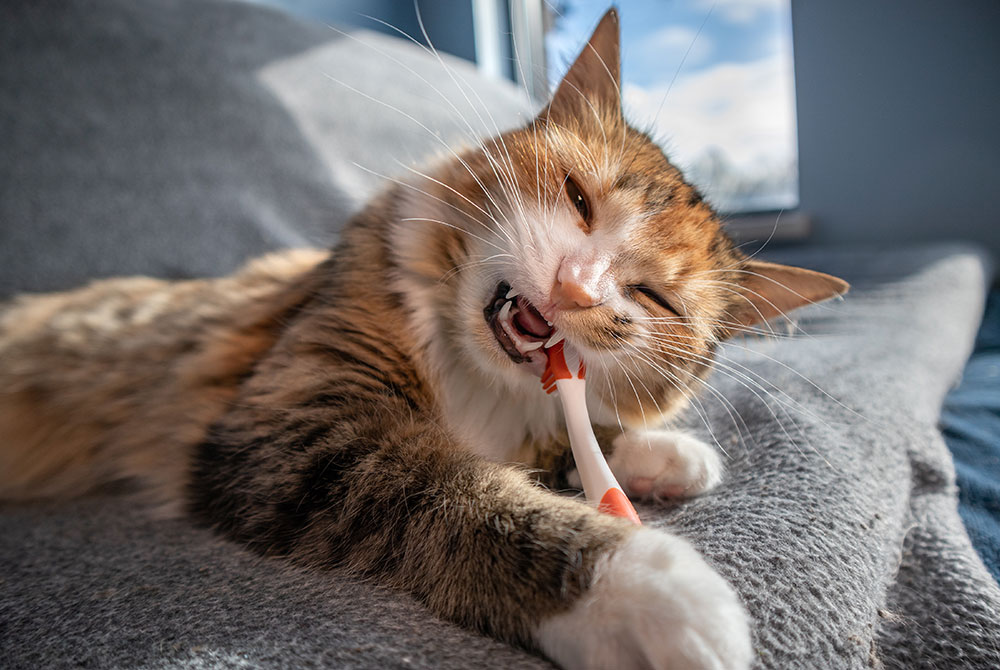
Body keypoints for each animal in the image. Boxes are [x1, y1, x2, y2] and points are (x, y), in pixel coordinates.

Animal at [0, 10, 848, 670]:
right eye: (579, 198)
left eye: (652, 297)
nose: (576, 288)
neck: (475, 382)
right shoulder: (304, 425)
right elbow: (463, 498)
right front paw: (645, 589)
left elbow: (570, 441)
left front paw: (667, 456)